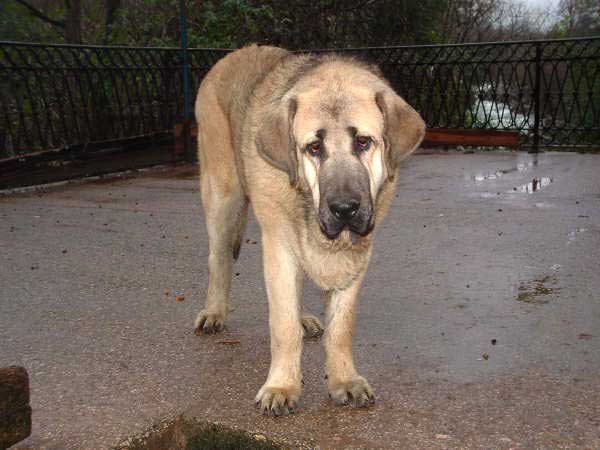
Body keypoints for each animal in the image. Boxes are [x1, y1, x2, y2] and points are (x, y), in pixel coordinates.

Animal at [195, 44, 424, 414]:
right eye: (314, 148)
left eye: (363, 142)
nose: (345, 208)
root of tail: (233, 55)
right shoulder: (279, 245)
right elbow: (283, 325)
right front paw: (282, 386)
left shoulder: (358, 255)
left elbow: (341, 326)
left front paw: (344, 380)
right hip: (223, 198)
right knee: (219, 259)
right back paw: (214, 312)